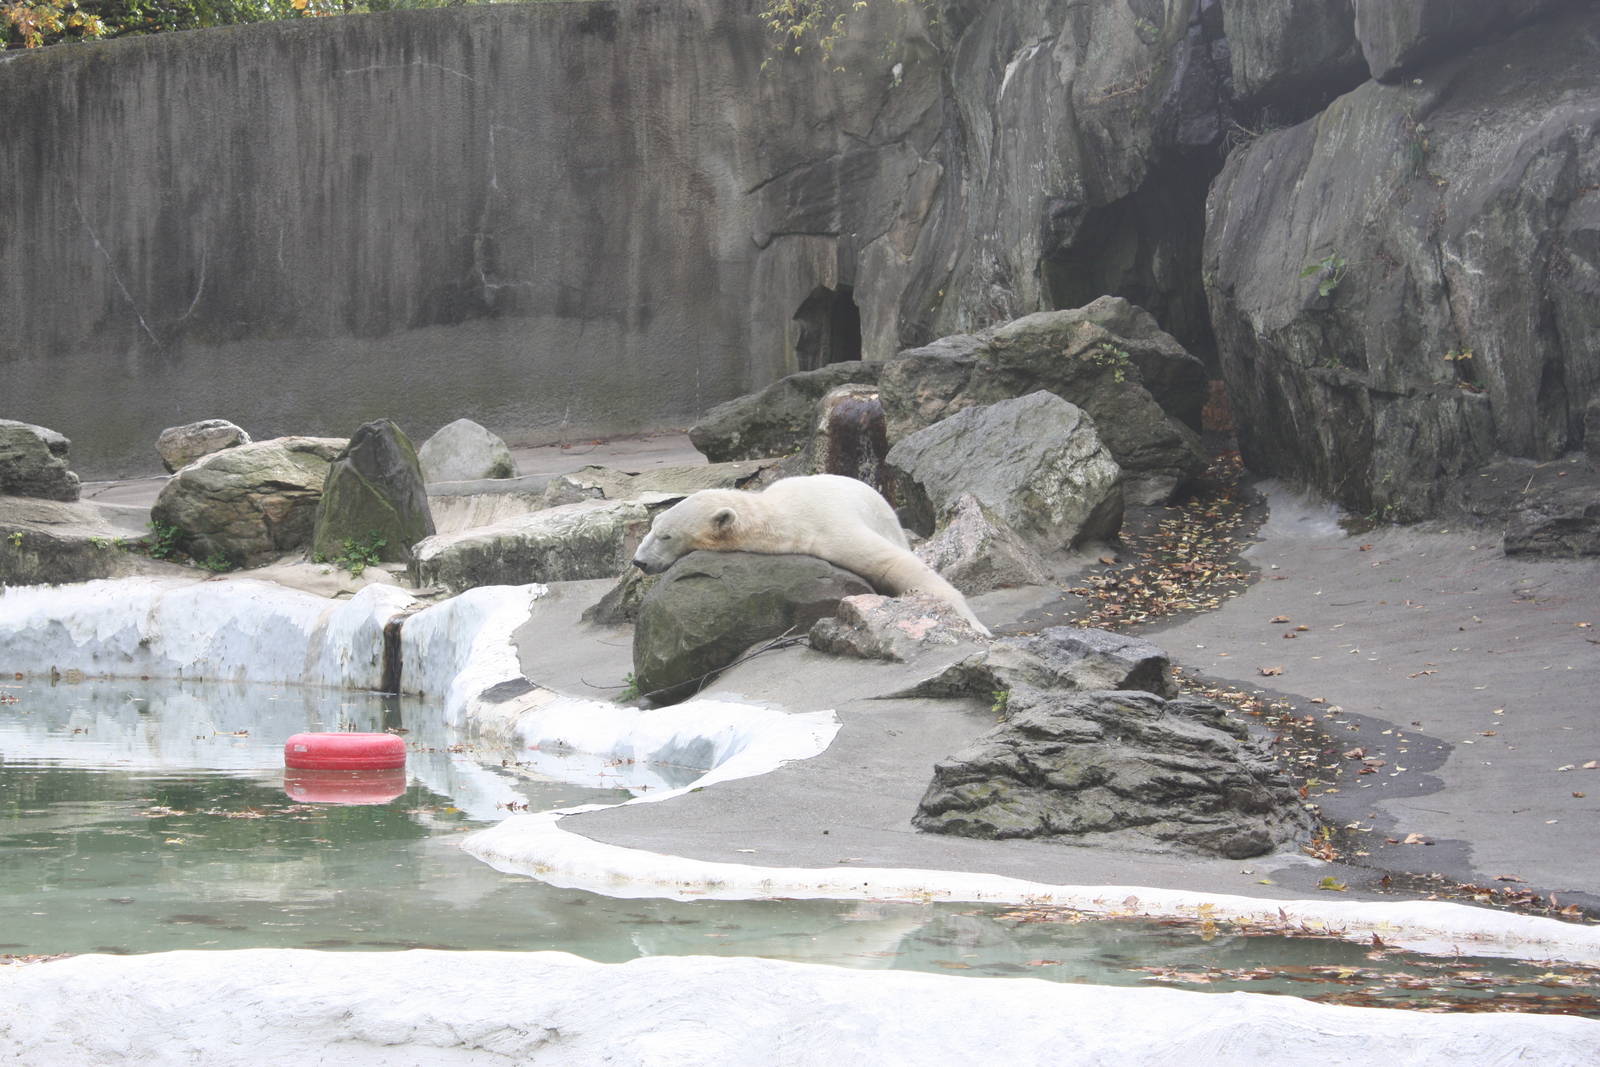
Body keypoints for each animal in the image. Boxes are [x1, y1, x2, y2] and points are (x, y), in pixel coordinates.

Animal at [631, 473, 992, 637]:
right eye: (652, 527)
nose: (639, 561)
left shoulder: (830, 527)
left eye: (665, 536)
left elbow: (893, 564)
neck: (779, 517)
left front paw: (975, 626)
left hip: (886, 522)